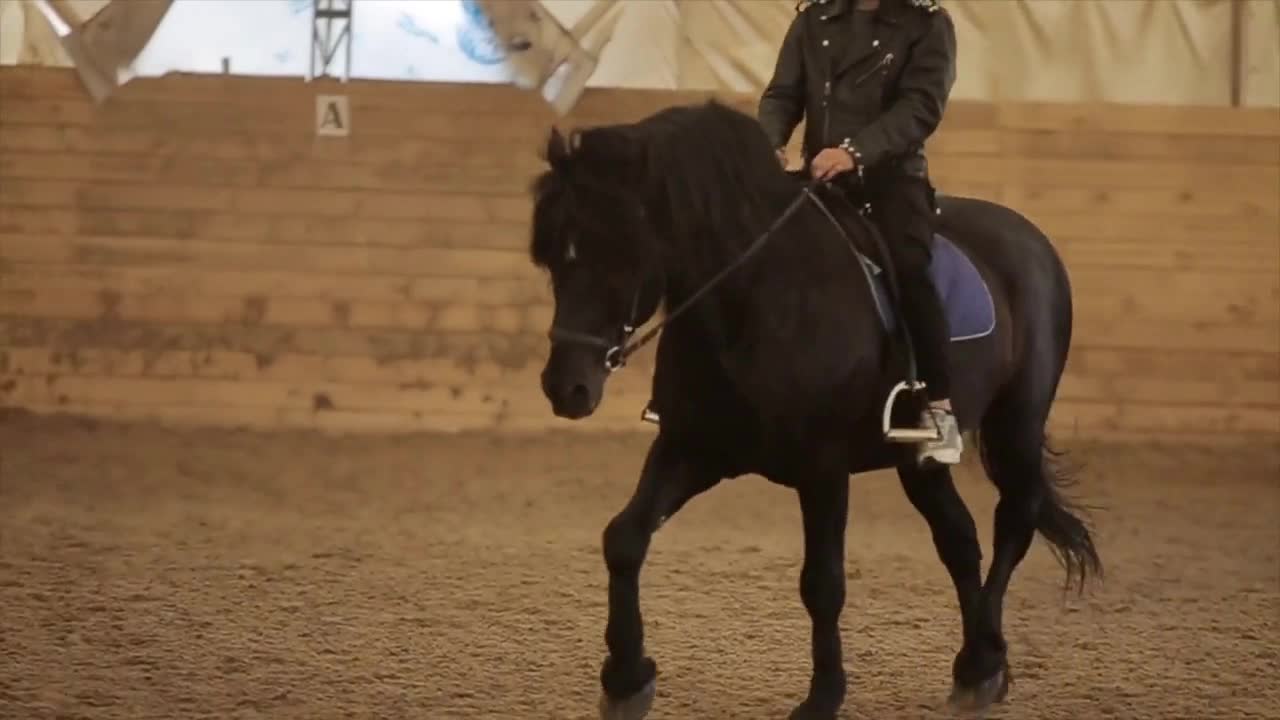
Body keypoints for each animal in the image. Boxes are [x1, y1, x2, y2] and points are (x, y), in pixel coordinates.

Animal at [529, 99, 1100, 717]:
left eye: (620, 253)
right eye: (554, 260)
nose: (565, 388)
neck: (752, 302)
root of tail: (1030, 238)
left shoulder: (823, 468)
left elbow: (822, 583)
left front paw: (823, 696)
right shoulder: (692, 447)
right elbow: (625, 538)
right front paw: (626, 678)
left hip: (1017, 424)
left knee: (1013, 522)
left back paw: (988, 656)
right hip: (918, 461)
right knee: (959, 539)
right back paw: (976, 666)